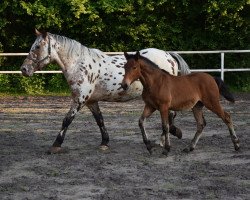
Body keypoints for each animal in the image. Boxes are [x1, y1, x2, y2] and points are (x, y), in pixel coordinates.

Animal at [20, 30, 190, 153]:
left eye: (37, 47)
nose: (24, 69)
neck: (79, 64)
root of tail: (168, 55)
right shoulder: (90, 101)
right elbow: (100, 120)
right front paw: (104, 142)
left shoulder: (79, 100)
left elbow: (67, 120)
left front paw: (56, 145)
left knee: (170, 115)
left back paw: (163, 140)